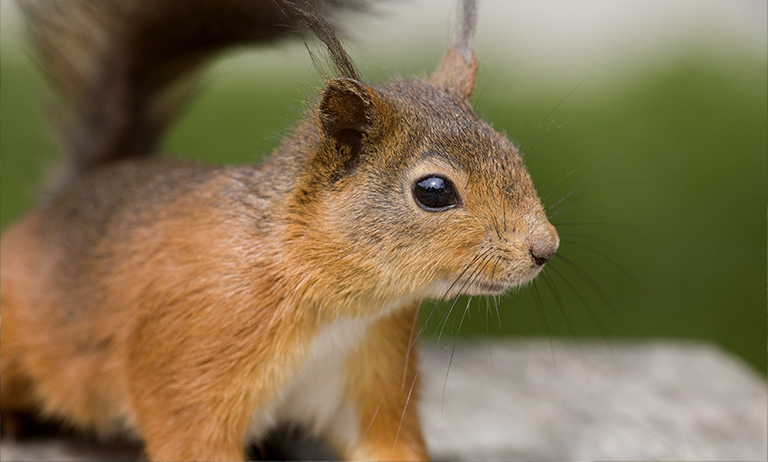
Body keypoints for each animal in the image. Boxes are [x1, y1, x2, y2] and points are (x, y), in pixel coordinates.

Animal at [3, 0, 560, 462]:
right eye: (434, 191)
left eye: (512, 152)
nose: (545, 248)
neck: (337, 308)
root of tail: (63, 200)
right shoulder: (191, 362)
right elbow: (192, 440)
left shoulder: (370, 378)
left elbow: (387, 445)